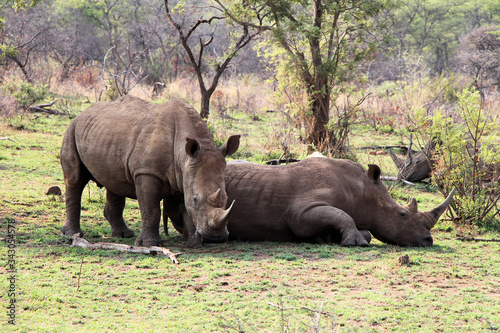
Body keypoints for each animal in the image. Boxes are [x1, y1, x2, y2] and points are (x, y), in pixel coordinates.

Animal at [60, 94, 240, 245]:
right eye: (196, 199)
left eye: (226, 198)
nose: (216, 238)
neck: (184, 155)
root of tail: (83, 113)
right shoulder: (146, 172)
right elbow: (151, 209)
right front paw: (149, 244)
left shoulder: (184, 174)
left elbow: (186, 210)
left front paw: (194, 243)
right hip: (71, 130)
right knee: (75, 180)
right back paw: (73, 235)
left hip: (104, 135)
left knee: (114, 181)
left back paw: (124, 235)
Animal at [170, 157, 456, 245]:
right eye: (402, 215)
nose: (428, 241)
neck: (363, 190)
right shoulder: (301, 213)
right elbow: (344, 217)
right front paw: (354, 242)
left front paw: (327, 238)